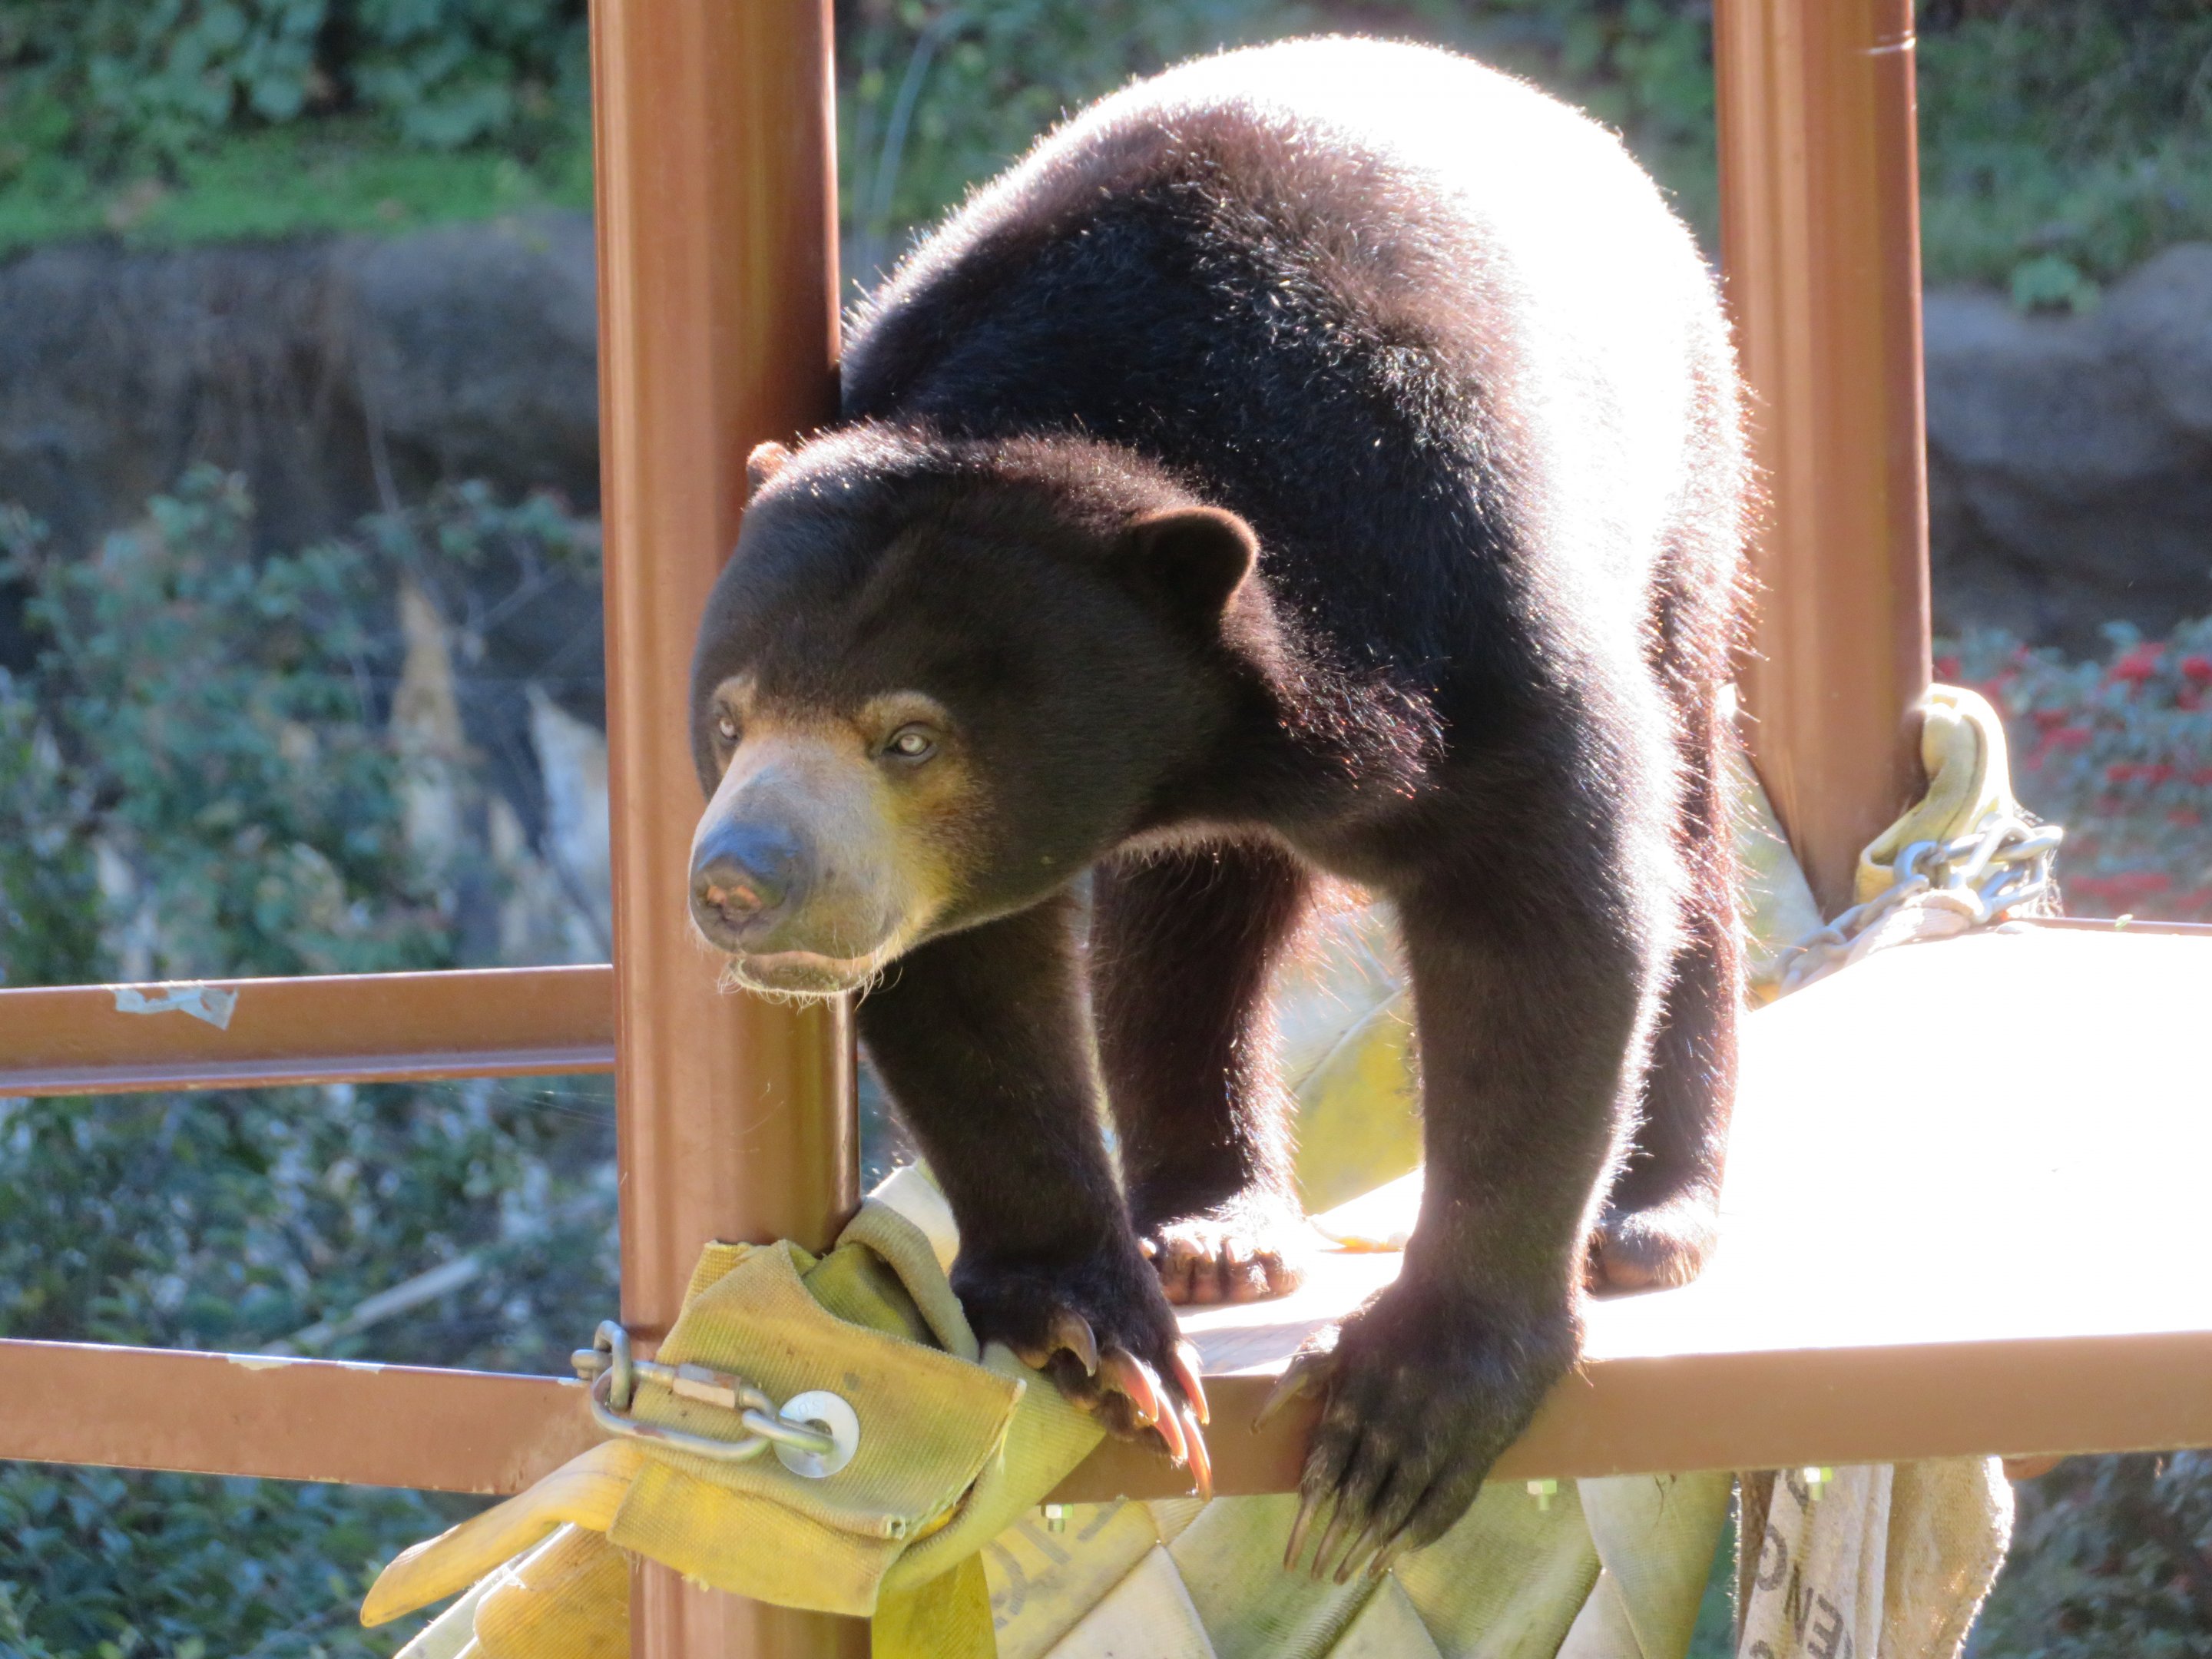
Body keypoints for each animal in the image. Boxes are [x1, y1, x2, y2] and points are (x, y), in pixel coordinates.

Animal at [687, 36, 1746, 1576]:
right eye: (728, 718)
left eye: (909, 737)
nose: (739, 883)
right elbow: (971, 988)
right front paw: (1097, 1329)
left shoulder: (1456, 568)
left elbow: (1547, 915)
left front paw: (1407, 1416)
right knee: (1191, 927)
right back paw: (1210, 1227)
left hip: (1686, 487)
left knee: (1693, 825)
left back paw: (1657, 1216)